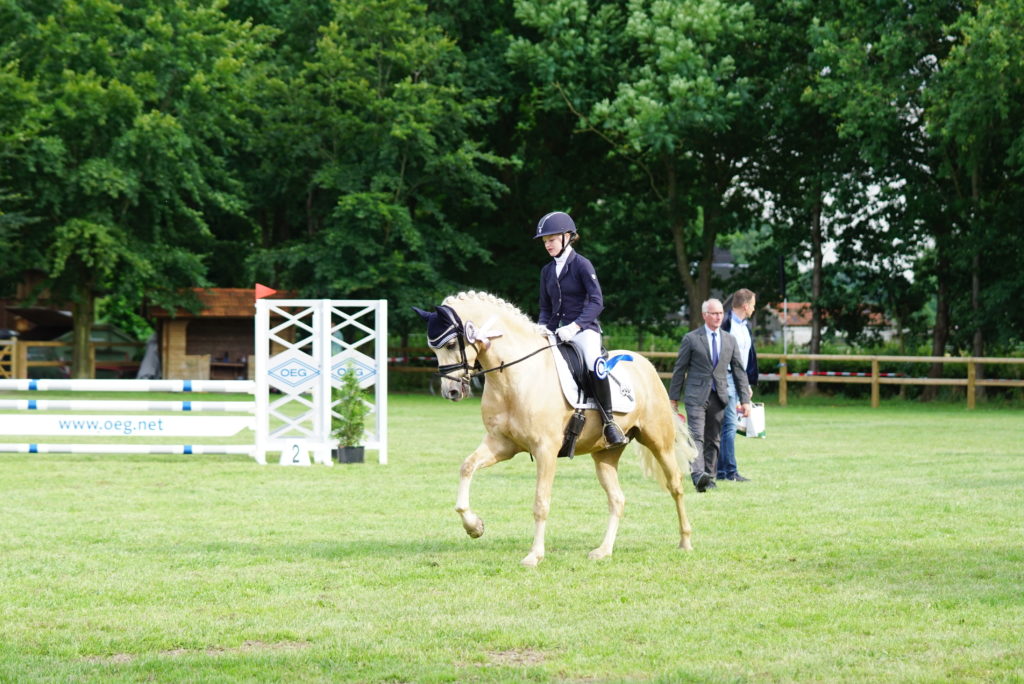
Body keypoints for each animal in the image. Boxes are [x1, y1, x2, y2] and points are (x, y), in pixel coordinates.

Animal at [411, 290, 700, 565]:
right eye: (433, 349)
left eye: (451, 344)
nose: (451, 392)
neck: (513, 377)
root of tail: (645, 363)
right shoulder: (501, 444)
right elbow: (466, 468)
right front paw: (474, 527)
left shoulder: (545, 450)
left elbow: (541, 503)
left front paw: (534, 556)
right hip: (605, 454)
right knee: (617, 499)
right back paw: (603, 551)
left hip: (658, 442)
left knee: (676, 485)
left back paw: (685, 542)